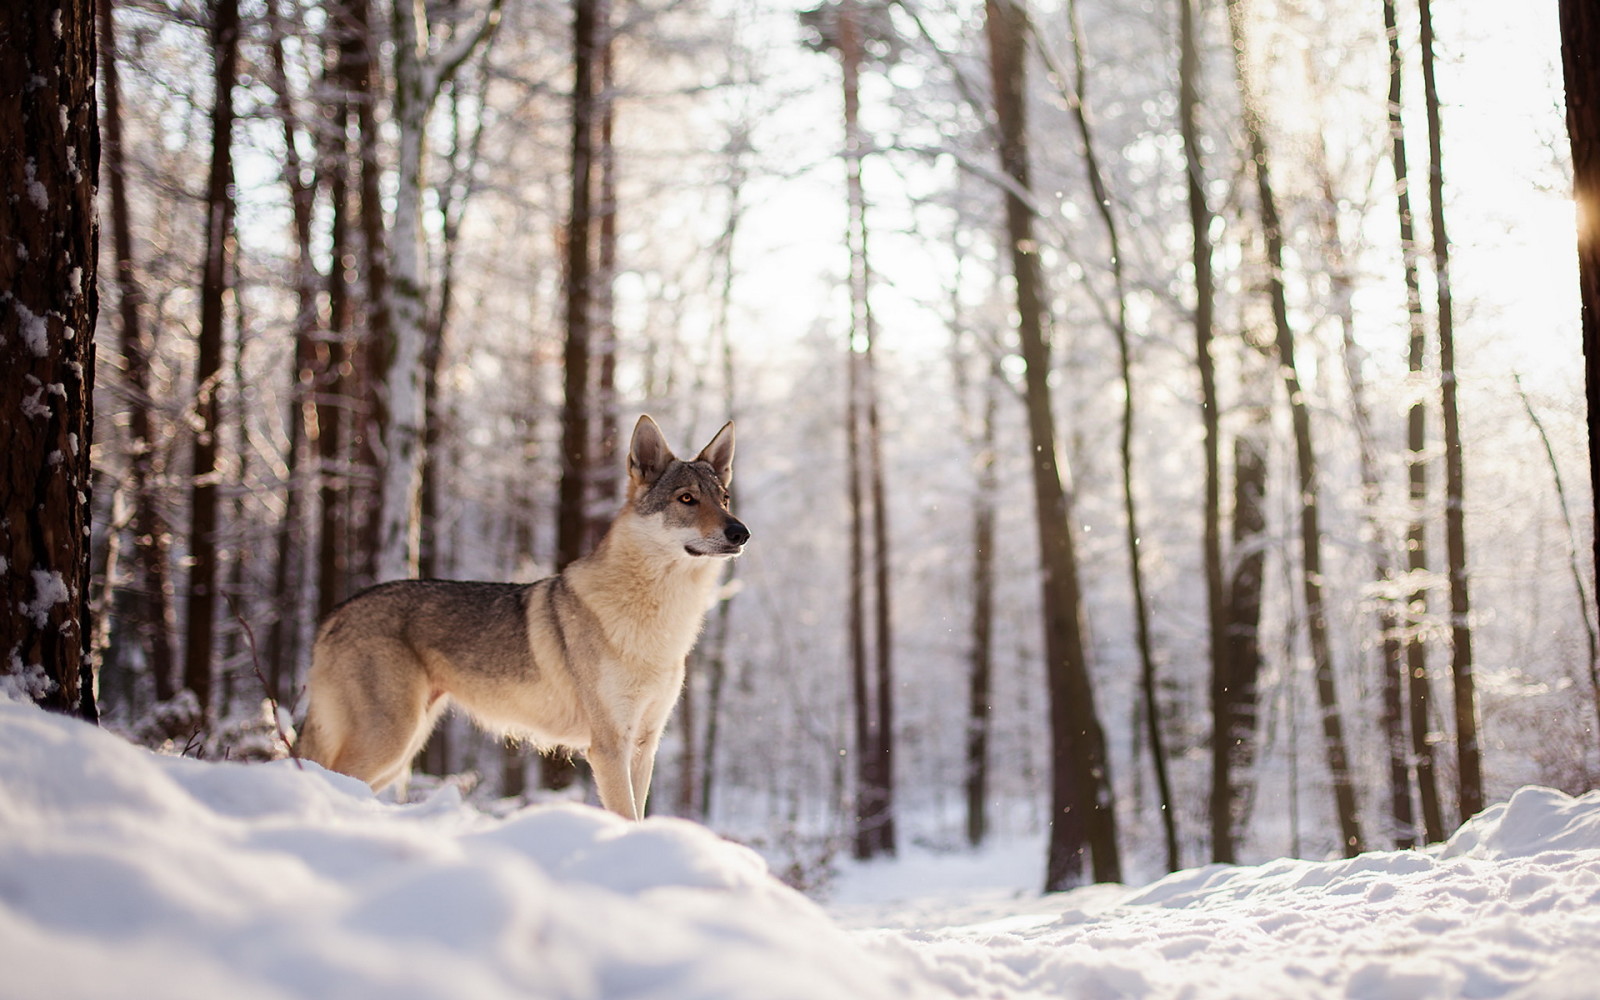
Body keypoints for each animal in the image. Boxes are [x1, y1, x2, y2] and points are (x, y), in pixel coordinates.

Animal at [296, 416, 748, 819]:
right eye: (687, 499)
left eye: (724, 499)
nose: (740, 532)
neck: (659, 619)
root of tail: (334, 614)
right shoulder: (607, 748)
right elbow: (626, 817)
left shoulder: (643, 746)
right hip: (390, 741)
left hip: (401, 751)